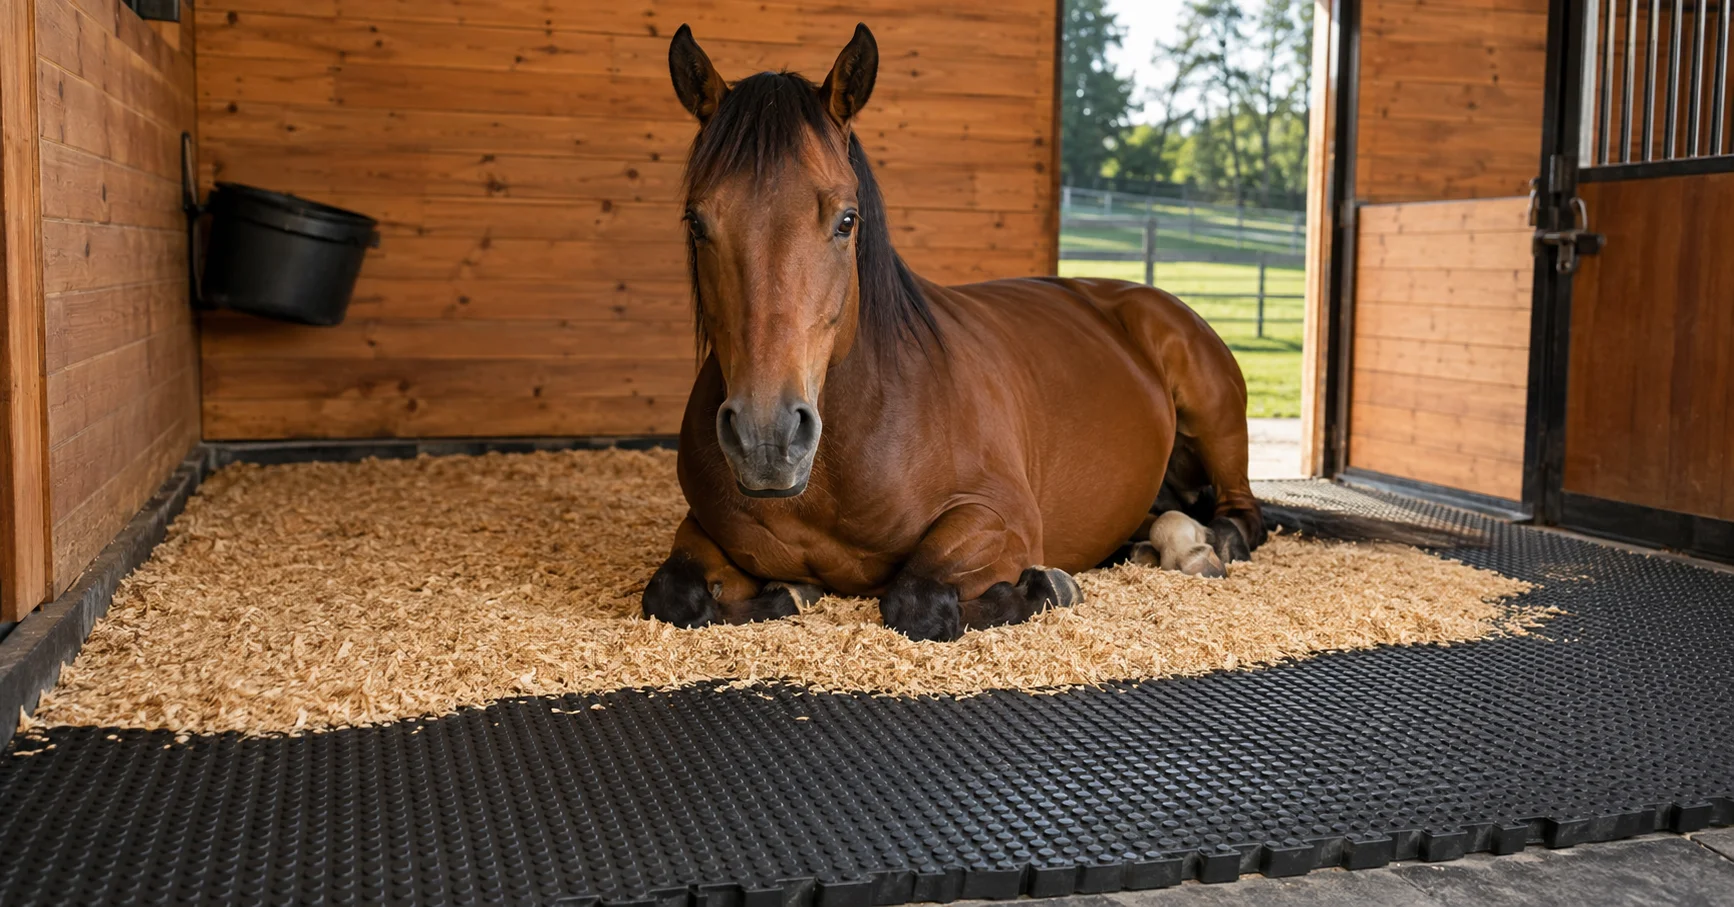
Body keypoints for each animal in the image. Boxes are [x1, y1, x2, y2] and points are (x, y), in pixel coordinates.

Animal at [640, 23, 1268, 642]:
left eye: (846, 220)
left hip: (1215, 422)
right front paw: (788, 593)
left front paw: (1049, 585)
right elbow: (672, 595)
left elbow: (917, 600)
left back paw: (1204, 546)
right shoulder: (702, 528)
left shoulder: (998, 517)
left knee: (1243, 517)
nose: (767, 440)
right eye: (696, 222)